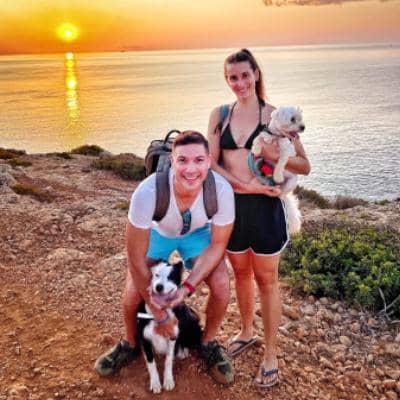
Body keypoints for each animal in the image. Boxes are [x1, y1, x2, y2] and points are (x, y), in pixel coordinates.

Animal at [136, 260, 202, 394]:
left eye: (171, 277)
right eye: (156, 275)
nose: (159, 287)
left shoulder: (172, 336)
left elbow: (168, 359)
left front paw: (168, 380)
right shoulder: (145, 339)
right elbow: (151, 362)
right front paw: (155, 383)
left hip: (191, 323)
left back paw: (183, 350)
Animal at [250, 106, 305, 234]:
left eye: (300, 119)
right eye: (292, 119)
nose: (303, 127)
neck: (276, 136)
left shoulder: (285, 152)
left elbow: (280, 163)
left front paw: (277, 175)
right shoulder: (263, 136)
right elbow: (258, 139)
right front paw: (256, 149)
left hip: (290, 184)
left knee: (282, 194)